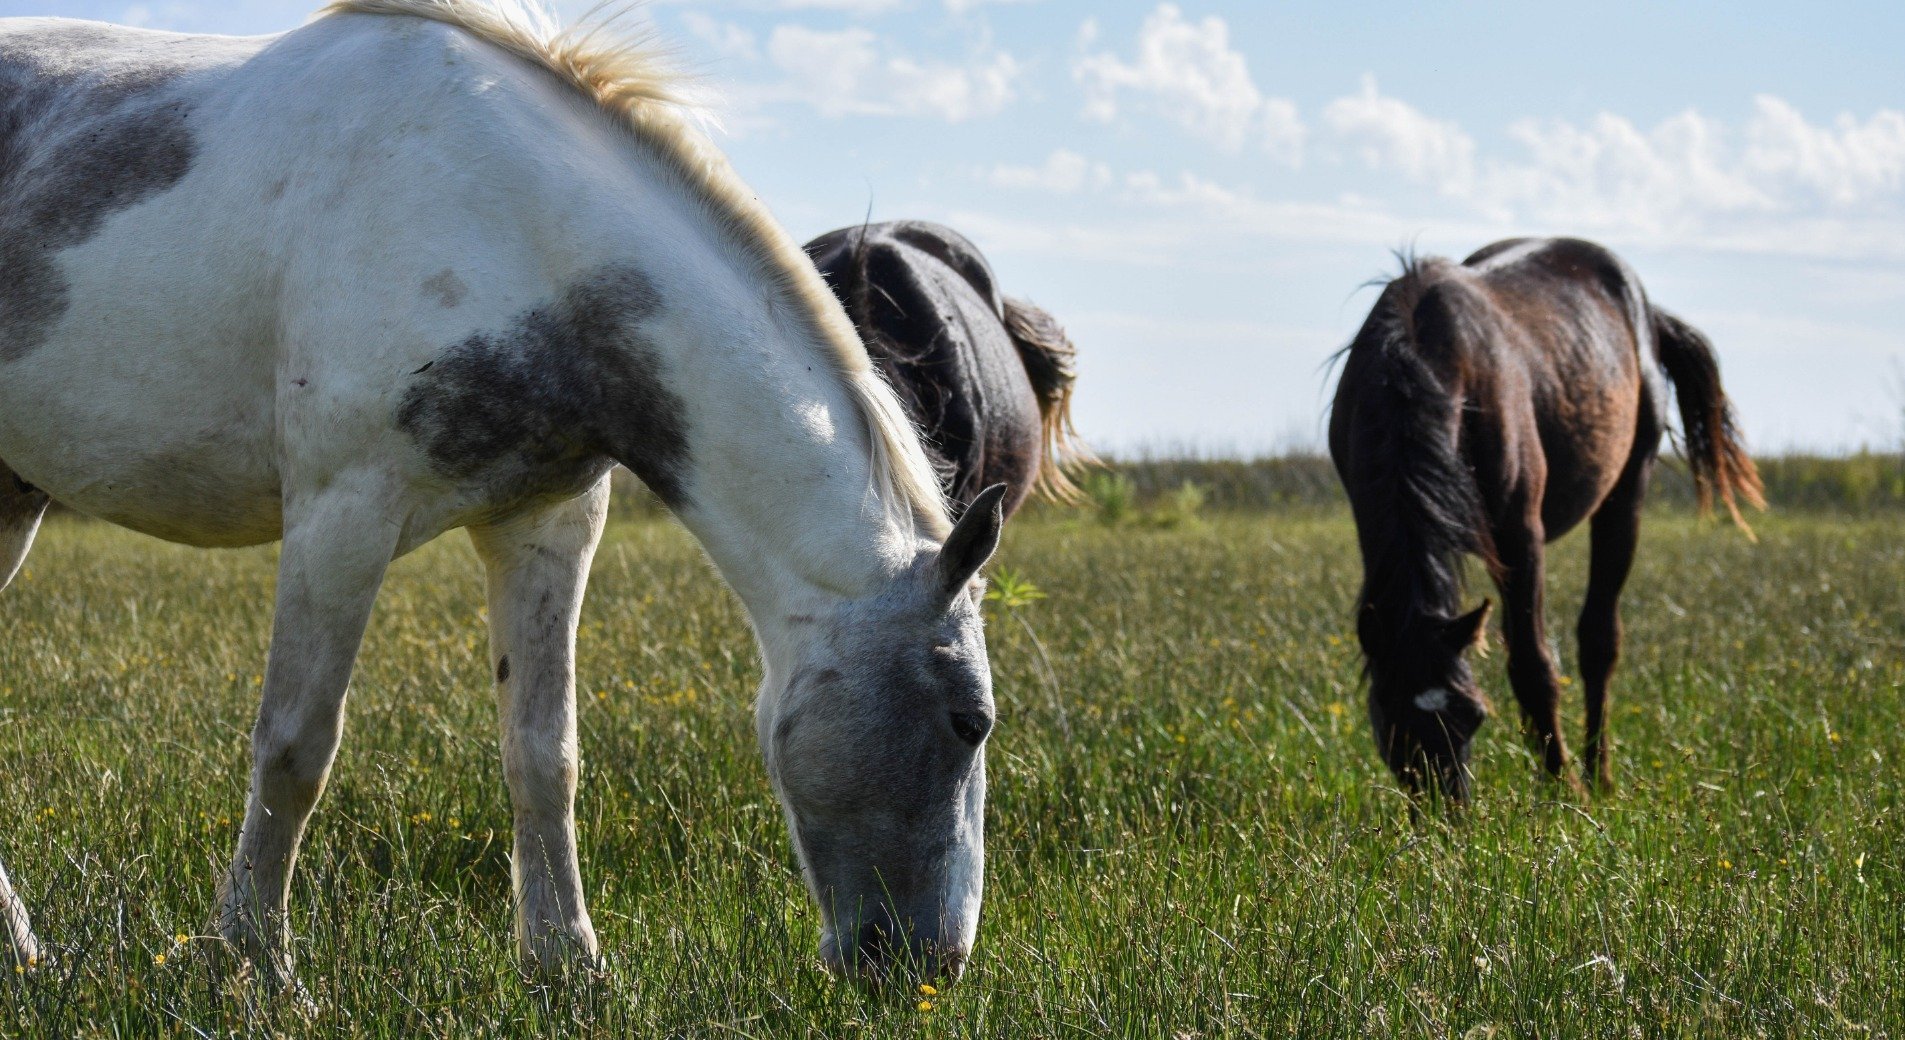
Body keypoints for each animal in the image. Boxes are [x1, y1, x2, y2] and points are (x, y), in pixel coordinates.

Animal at [0, 0, 1005, 982]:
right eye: (971, 723)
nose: (933, 965)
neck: (516, 229)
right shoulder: (340, 515)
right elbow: (294, 746)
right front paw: (254, 964)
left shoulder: (546, 523)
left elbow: (543, 755)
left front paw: (563, 964)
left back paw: (22, 949)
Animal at [1333, 239, 1760, 796]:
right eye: (1391, 725)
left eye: (1473, 716)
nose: (1447, 810)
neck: (1416, 364)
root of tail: (1647, 312)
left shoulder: (1518, 535)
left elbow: (1532, 665)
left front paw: (1564, 789)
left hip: (1626, 492)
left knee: (1599, 640)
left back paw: (1597, 775)